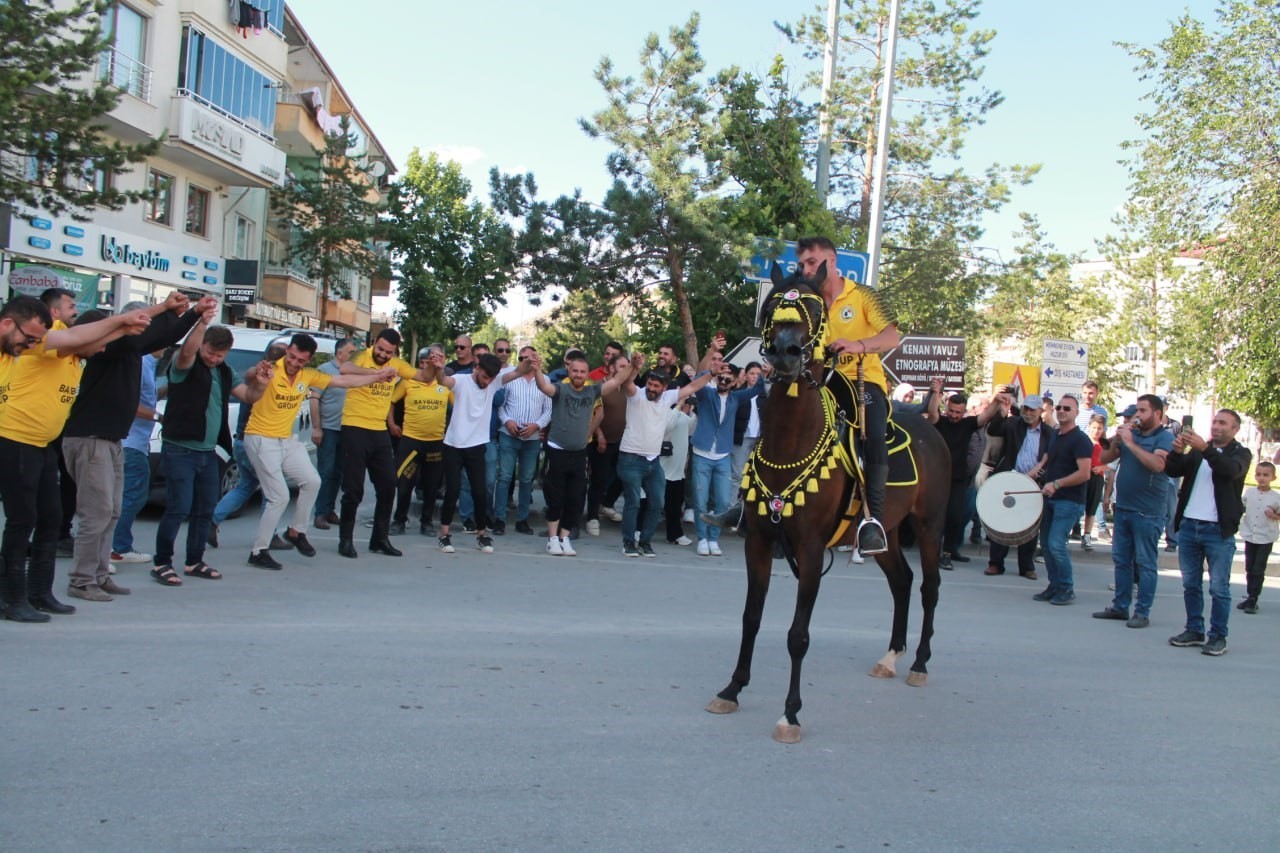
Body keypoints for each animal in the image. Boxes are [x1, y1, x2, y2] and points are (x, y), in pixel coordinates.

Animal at [706, 262, 957, 742]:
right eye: (771, 304)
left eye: (815, 307)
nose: (786, 353)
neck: (789, 441)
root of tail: (933, 429)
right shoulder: (759, 543)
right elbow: (750, 618)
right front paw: (731, 689)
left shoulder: (809, 549)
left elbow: (797, 635)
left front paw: (790, 713)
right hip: (886, 532)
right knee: (901, 581)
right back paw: (890, 657)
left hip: (931, 527)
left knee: (929, 587)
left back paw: (919, 662)